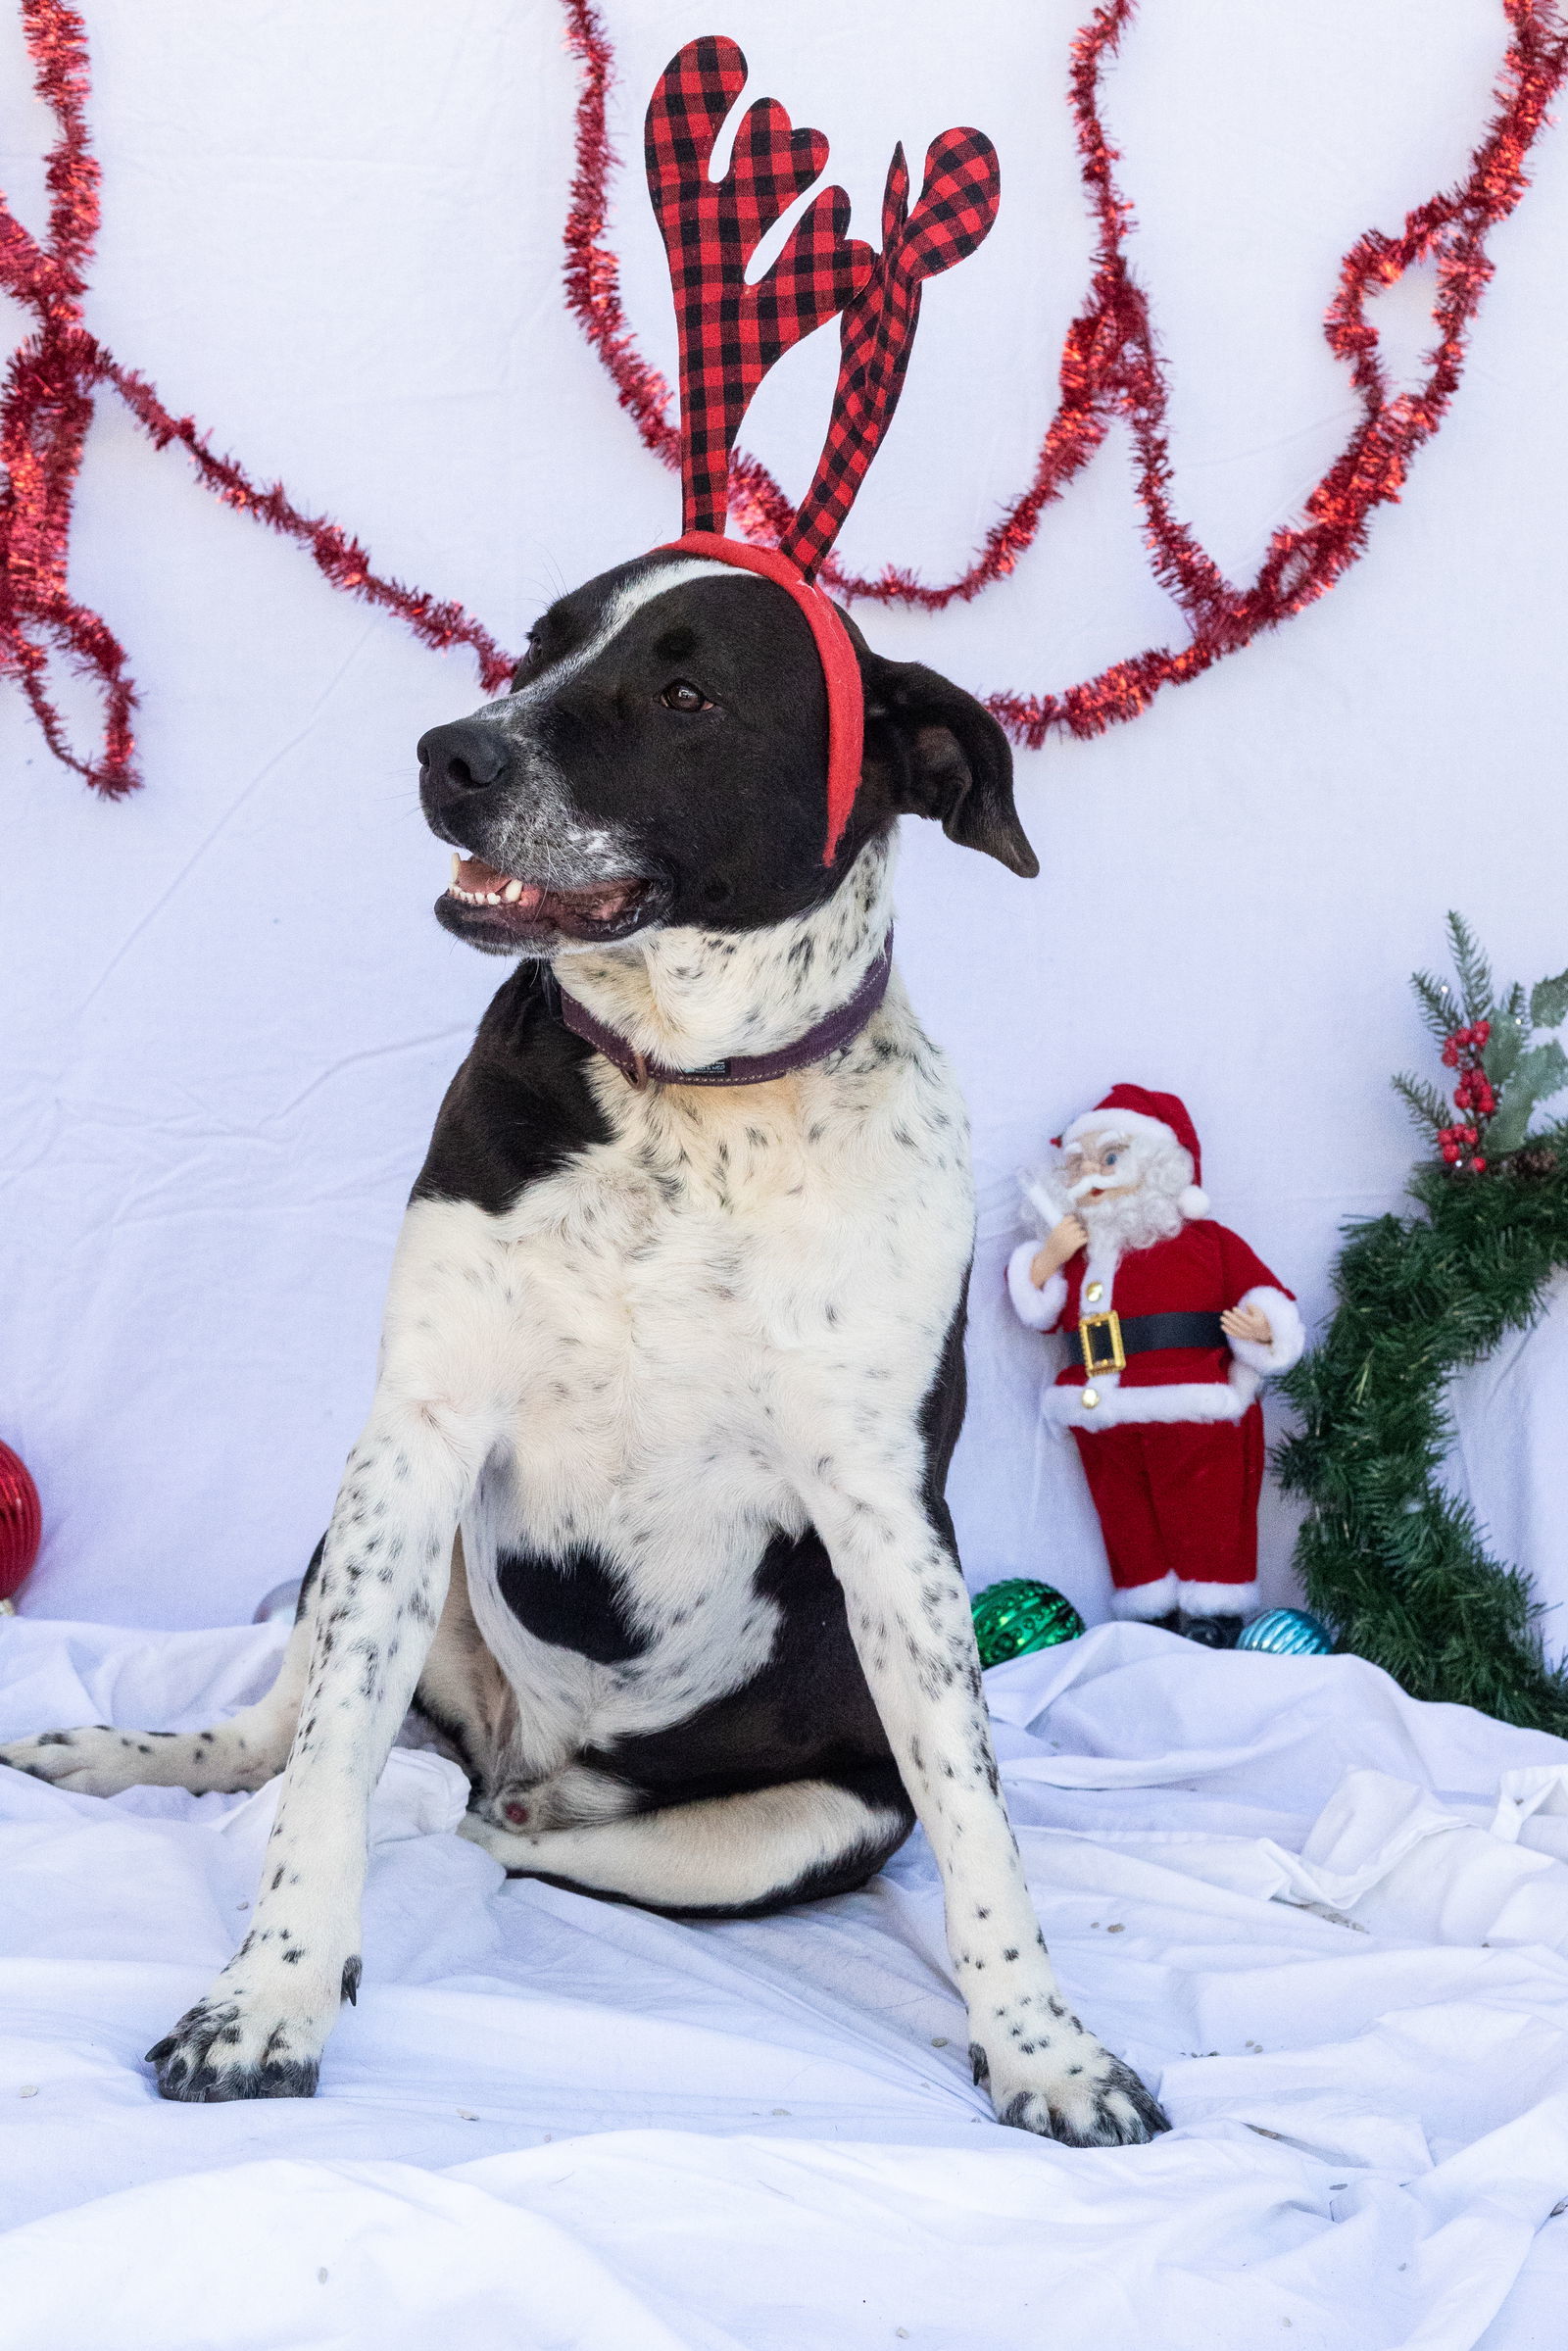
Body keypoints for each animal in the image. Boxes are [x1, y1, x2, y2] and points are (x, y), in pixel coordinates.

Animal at [0, 555, 1170, 2153]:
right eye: (537, 644)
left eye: (686, 692)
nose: (452, 755)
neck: (691, 1096)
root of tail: (531, 1763)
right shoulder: (415, 1439)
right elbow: (322, 1776)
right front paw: (267, 1997)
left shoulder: (890, 1521)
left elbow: (977, 1812)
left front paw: (1047, 2046)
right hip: (359, 1537)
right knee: (289, 1735)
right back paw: (136, 1758)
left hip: (794, 1825)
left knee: (503, 1844)